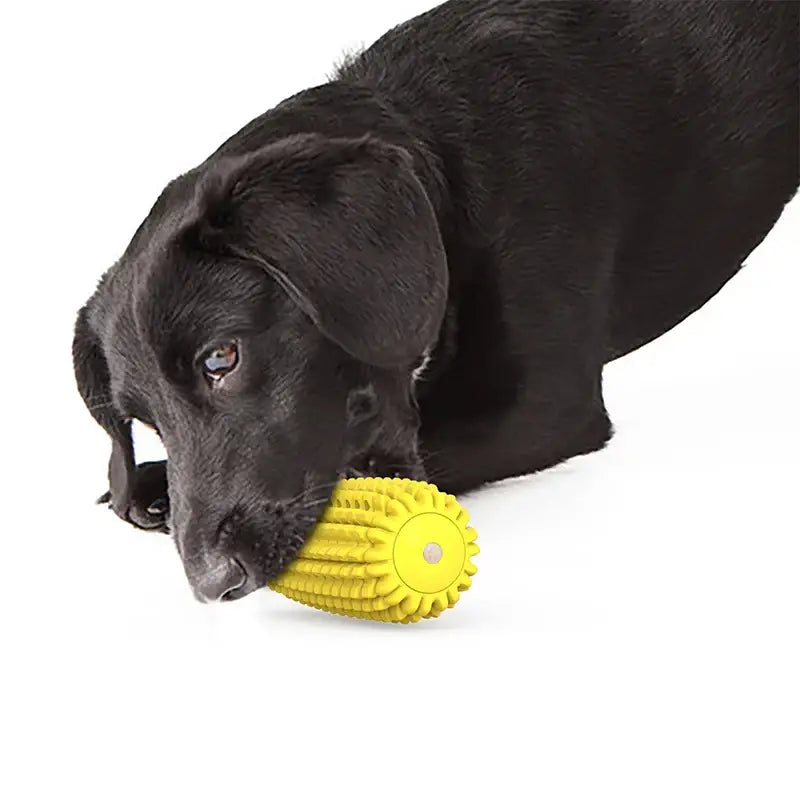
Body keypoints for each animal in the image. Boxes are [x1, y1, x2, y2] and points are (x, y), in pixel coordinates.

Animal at [72, 0, 796, 600]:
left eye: (221, 359)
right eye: (144, 421)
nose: (211, 585)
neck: (442, 167)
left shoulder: (546, 408)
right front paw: (144, 485)